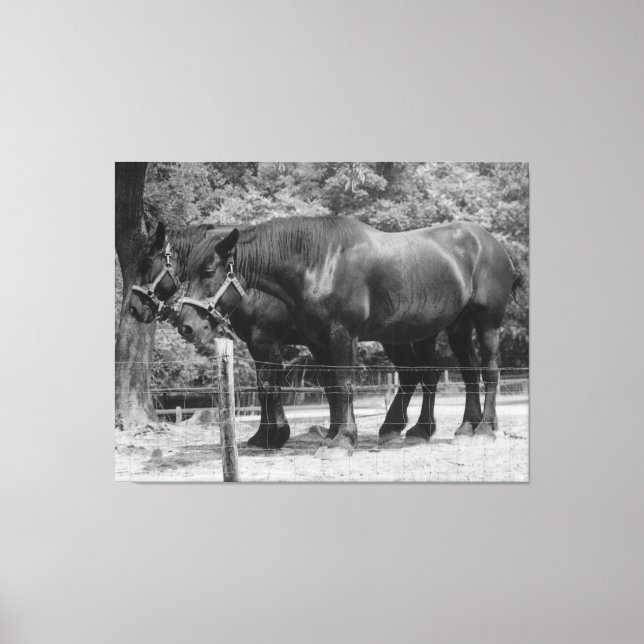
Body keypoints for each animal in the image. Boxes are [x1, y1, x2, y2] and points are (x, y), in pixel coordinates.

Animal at [129, 220, 441, 449]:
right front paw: (327, 433)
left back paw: (409, 428)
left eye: (147, 261)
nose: (134, 308)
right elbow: (314, 386)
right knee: (415, 374)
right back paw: (398, 428)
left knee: (421, 374)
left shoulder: (265, 342)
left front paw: (272, 435)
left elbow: (269, 386)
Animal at [178, 215, 522, 458]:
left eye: (208, 271)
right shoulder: (318, 341)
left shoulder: (338, 336)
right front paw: (333, 436)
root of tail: (494, 245)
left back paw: (484, 429)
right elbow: (332, 388)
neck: (320, 263)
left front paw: (341, 442)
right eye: (186, 272)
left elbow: (341, 385)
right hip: (455, 328)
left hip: (486, 323)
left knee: (488, 371)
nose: (186, 325)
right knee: (465, 372)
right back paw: (458, 428)